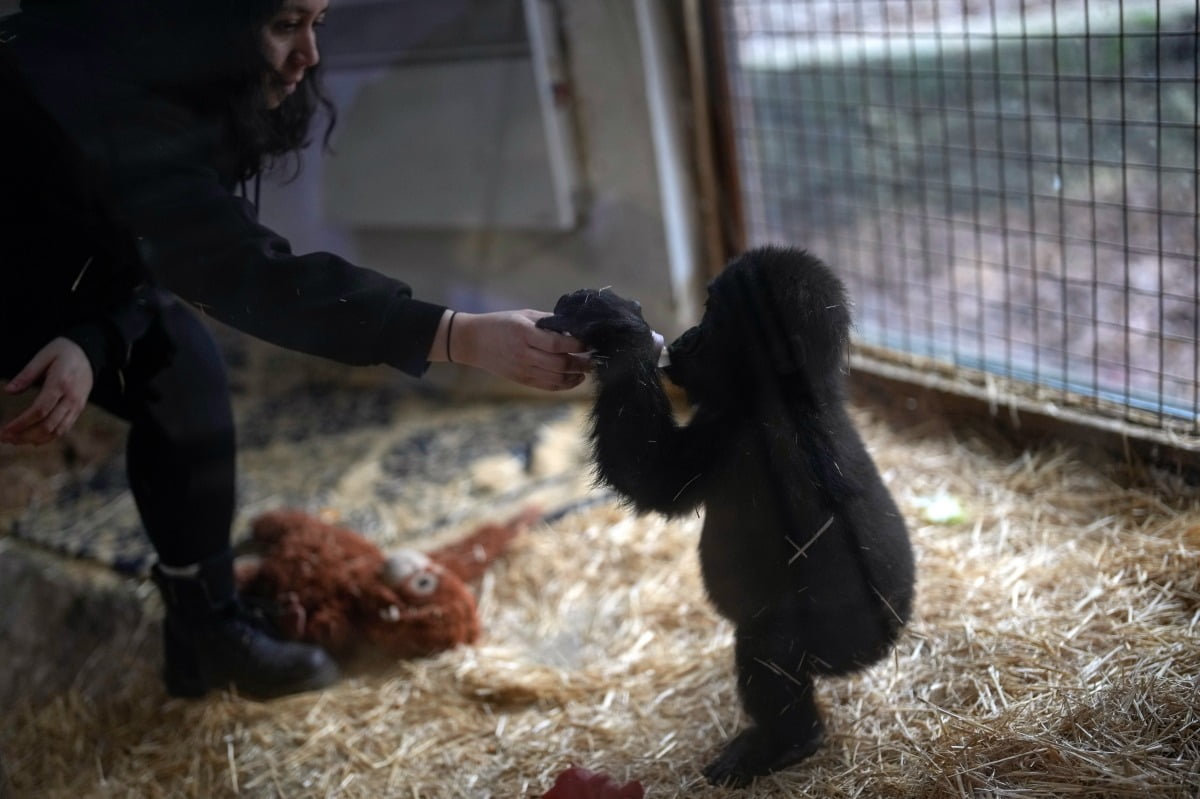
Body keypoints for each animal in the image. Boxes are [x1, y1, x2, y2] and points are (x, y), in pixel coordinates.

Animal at [540, 245, 912, 782]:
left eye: (714, 315)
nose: (686, 337)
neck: (790, 390)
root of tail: (884, 649)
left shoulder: (748, 437)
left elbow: (649, 474)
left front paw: (618, 331)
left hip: (841, 644)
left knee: (768, 647)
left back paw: (786, 741)